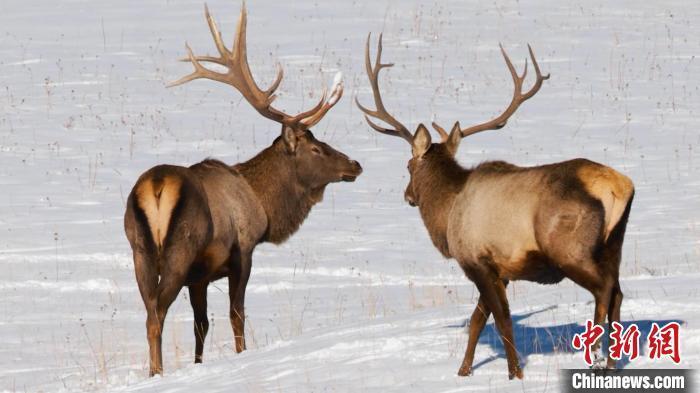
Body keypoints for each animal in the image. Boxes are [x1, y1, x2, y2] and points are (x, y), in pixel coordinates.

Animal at [123, 4, 360, 376]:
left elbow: (201, 324)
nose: (354, 164)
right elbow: (237, 315)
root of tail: (156, 187)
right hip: (181, 247)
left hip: (139, 249)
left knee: (148, 309)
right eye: (316, 149)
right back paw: (158, 373)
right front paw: (241, 355)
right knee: (156, 313)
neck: (262, 205)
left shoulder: (200, 277)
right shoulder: (243, 251)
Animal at [358, 34, 632, 380]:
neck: (447, 212)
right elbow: (479, 319)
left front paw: (515, 373)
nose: (408, 196)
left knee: (604, 290)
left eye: (408, 166)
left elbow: (502, 320)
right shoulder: (502, 270)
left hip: (570, 249)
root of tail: (618, 186)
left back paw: (598, 360)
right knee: (618, 292)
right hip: (614, 245)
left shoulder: (477, 260)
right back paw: (614, 363)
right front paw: (463, 371)